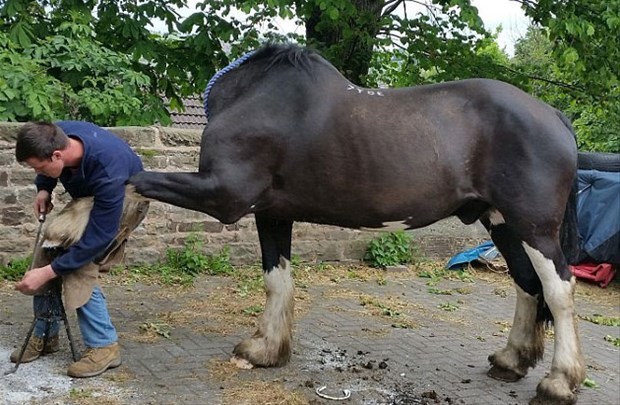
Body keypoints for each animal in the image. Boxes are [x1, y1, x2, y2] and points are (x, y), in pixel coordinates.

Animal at [128, 42, 584, 402]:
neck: (252, 95)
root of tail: (554, 116)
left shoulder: (222, 195)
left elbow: (136, 181)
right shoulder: (272, 214)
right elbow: (277, 279)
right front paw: (267, 350)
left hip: (534, 227)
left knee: (558, 289)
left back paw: (559, 382)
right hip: (502, 222)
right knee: (526, 283)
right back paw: (510, 360)